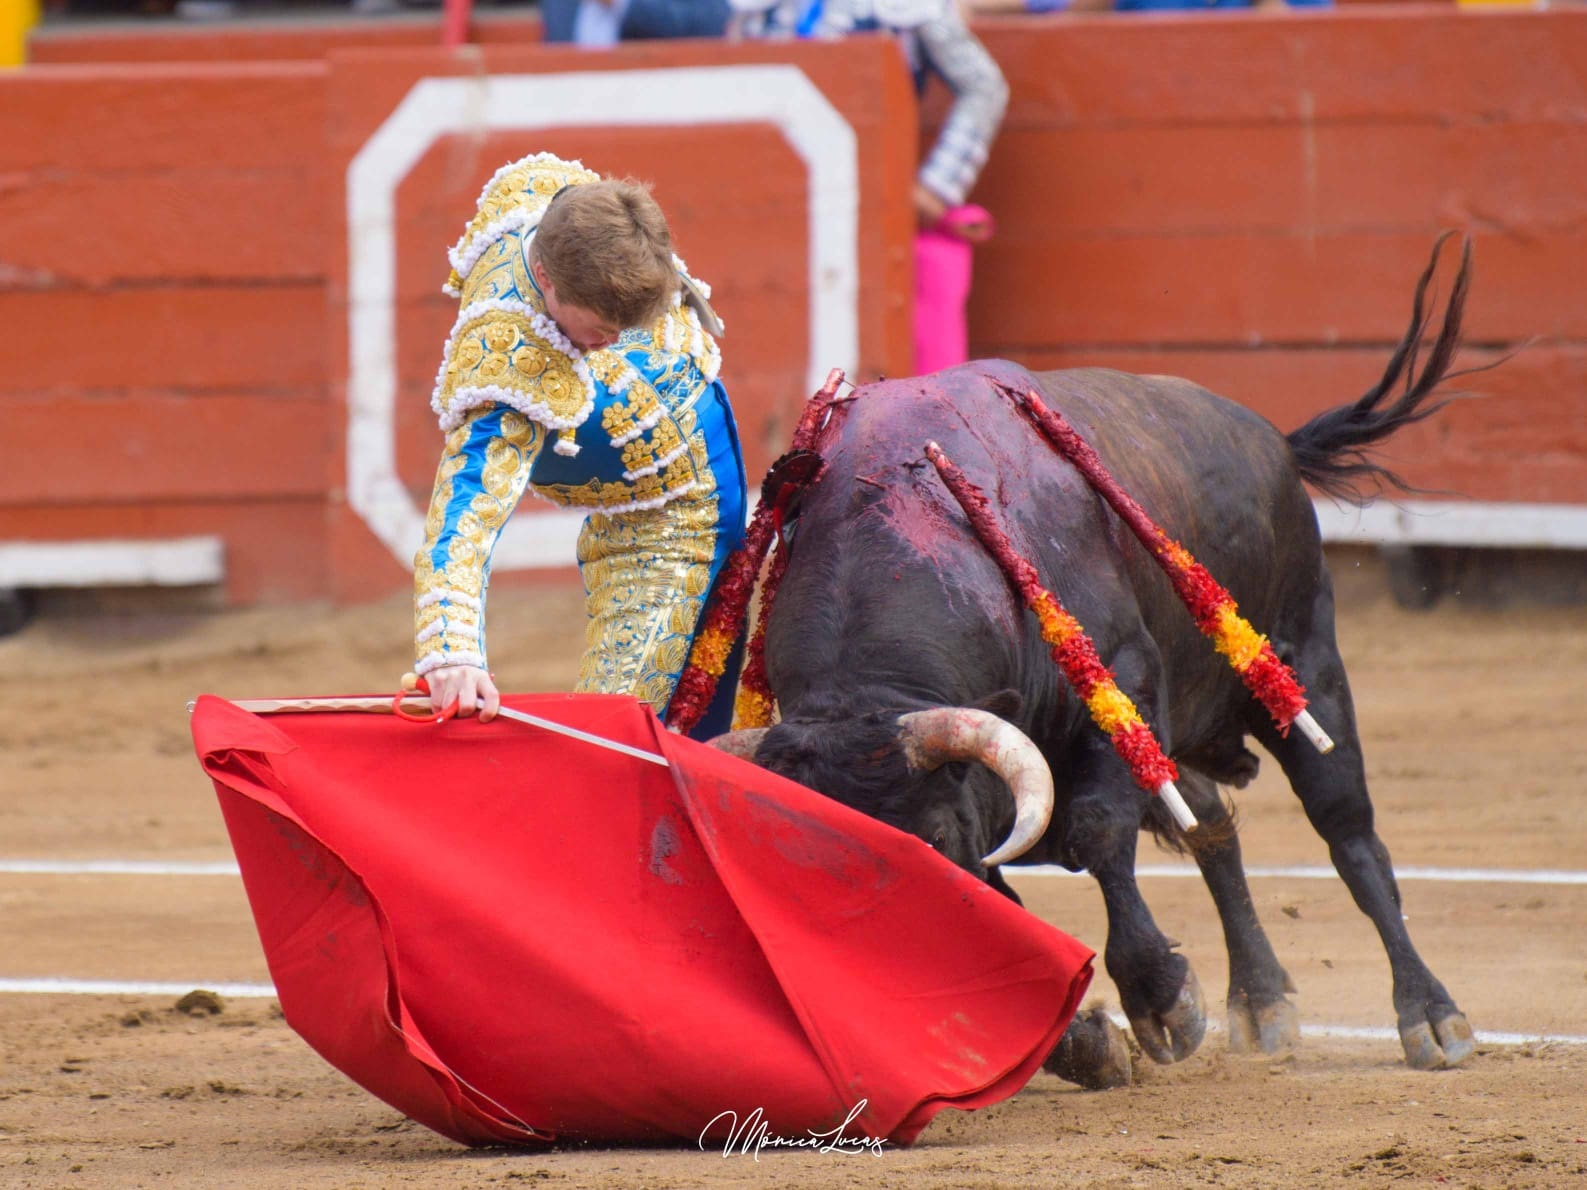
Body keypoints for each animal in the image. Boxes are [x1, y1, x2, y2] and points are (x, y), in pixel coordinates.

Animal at [714, 238, 1479, 1085]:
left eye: (934, 840)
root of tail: (1272, 441)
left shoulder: (1121, 685)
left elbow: (1096, 832)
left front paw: (1158, 1000)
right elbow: (1009, 894)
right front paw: (1081, 1038)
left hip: (1304, 661)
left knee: (1349, 835)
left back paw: (1430, 1016)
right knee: (1213, 826)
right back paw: (1261, 1000)